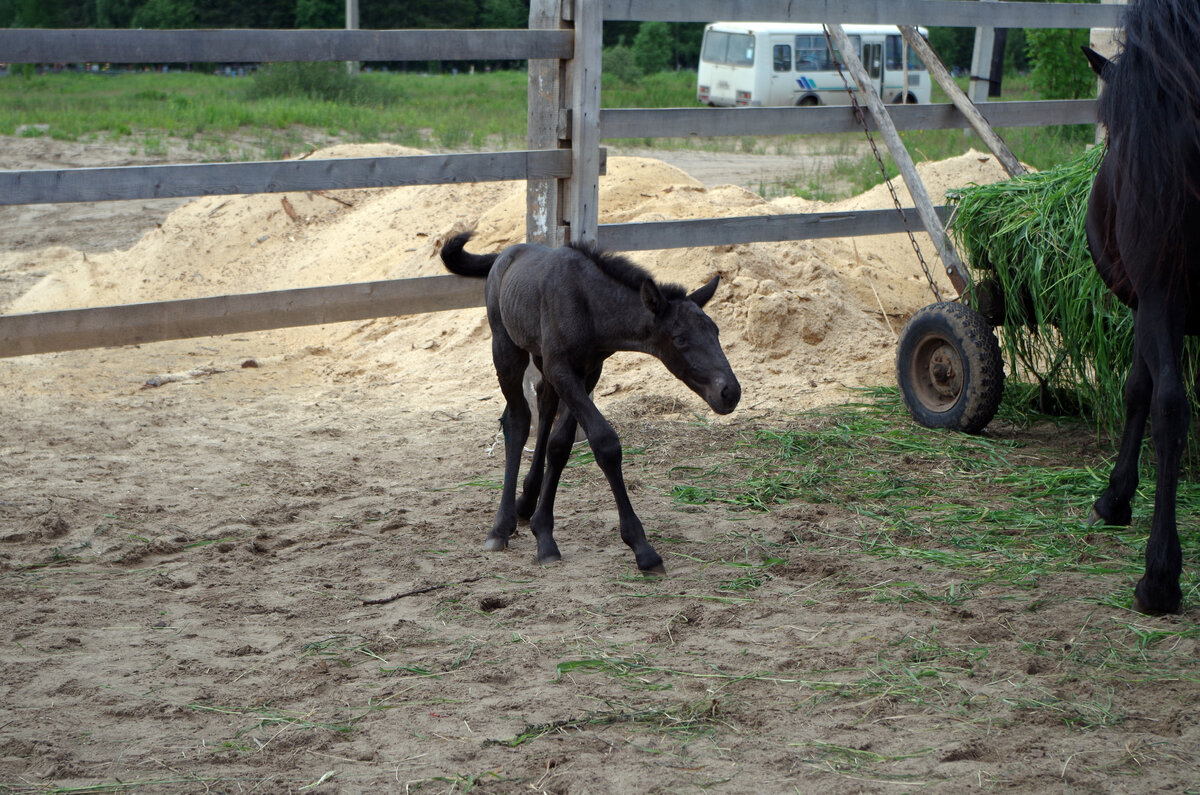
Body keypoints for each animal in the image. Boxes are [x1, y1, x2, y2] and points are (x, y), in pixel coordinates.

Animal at [441, 230, 739, 574]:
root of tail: (506, 253)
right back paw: (500, 527)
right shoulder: (562, 368)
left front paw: (544, 531)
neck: (589, 304)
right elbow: (604, 442)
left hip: (542, 359)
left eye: (715, 331)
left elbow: (561, 444)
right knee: (517, 419)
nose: (730, 392)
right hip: (506, 348)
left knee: (543, 406)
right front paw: (642, 547)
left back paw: (526, 503)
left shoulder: (589, 369)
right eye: (679, 338)